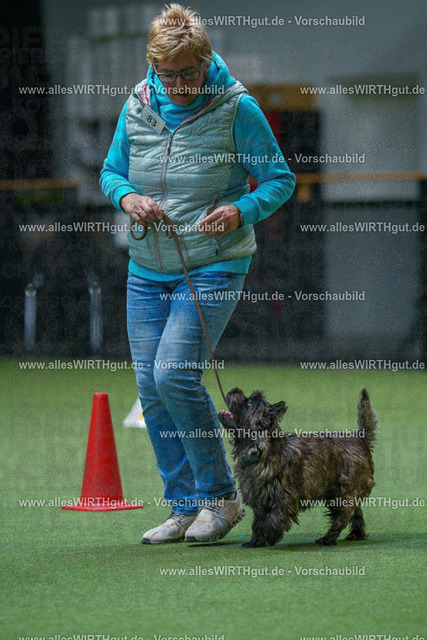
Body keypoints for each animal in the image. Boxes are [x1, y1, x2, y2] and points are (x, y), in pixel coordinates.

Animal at [218, 388, 377, 547]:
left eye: (249, 402)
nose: (233, 389)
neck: (263, 451)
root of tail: (360, 439)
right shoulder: (260, 501)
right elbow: (258, 522)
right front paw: (256, 541)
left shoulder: (285, 499)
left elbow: (273, 519)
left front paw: (270, 535)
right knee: (355, 511)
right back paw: (356, 534)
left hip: (342, 492)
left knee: (344, 515)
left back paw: (328, 538)